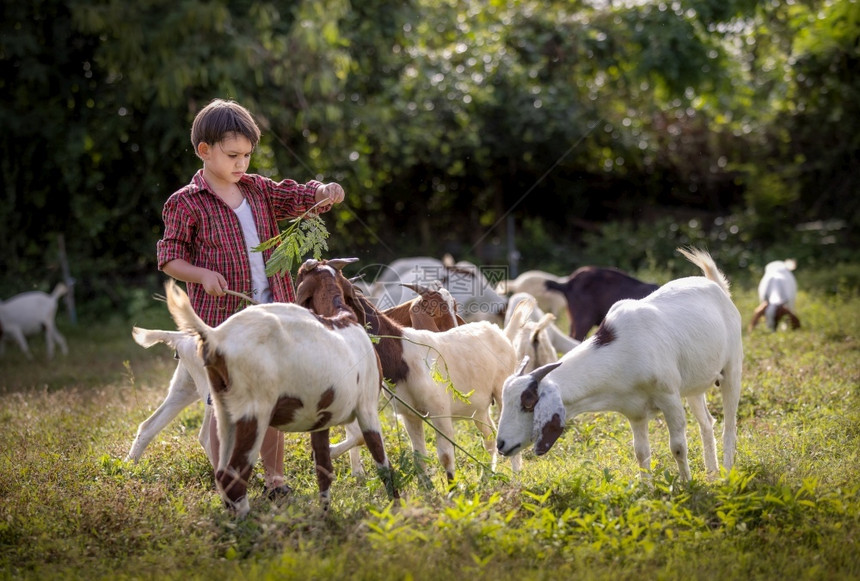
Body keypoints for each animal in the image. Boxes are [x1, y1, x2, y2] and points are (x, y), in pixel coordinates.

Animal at [494, 248, 744, 480]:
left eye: (528, 403)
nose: (501, 444)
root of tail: (716, 286)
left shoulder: (669, 397)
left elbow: (678, 447)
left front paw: (687, 485)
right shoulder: (634, 411)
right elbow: (641, 453)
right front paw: (647, 490)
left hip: (732, 369)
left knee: (729, 426)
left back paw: (727, 472)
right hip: (694, 385)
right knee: (706, 422)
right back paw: (712, 471)